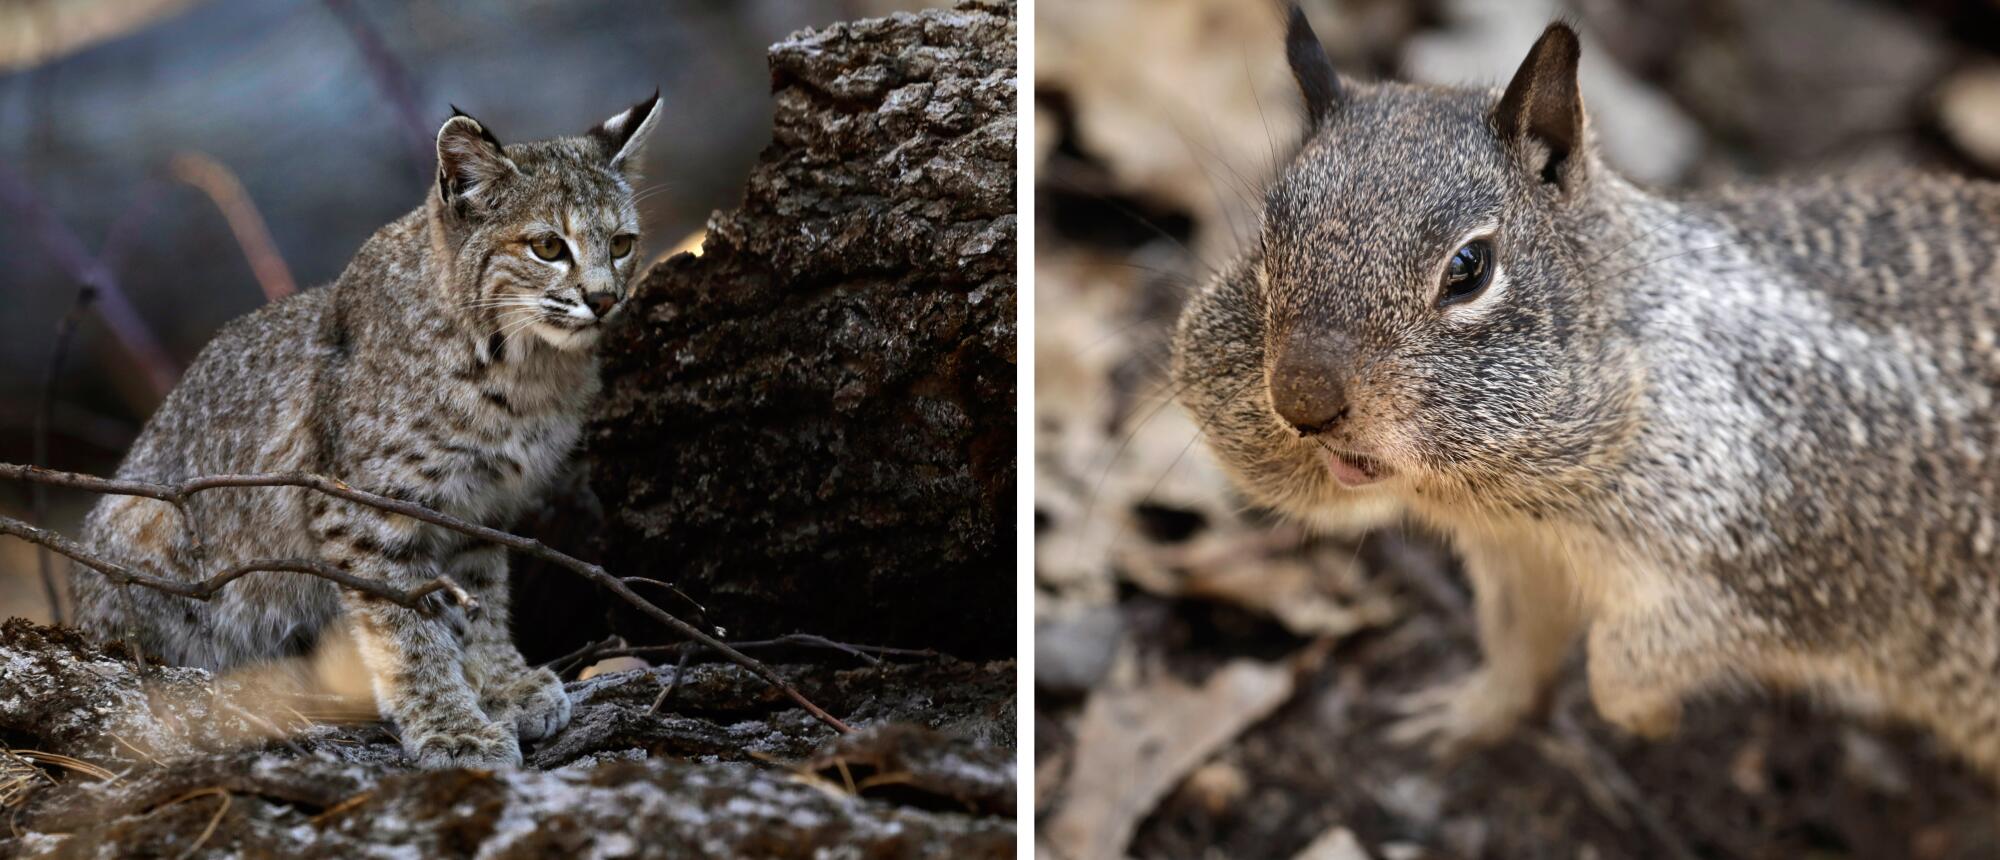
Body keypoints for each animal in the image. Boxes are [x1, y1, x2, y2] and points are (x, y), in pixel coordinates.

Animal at [1168, 5, 2000, 772]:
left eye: (1468, 268)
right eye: (1267, 242)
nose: (1302, 402)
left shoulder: (1758, 575)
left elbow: (1621, 664)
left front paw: (1647, 719)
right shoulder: (1514, 560)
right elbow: (1516, 645)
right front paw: (1463, 716)